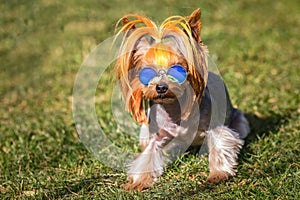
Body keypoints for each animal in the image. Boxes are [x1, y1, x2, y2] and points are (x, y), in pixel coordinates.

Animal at [113, 8, 250, 191]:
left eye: (177, 70)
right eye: (147, 72)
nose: (161, 87)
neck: (173, 107)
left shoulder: (215, 128)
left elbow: (219, 148)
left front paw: (217, 175)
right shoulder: (157, 135)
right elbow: (148, 155)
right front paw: (138, 182)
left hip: (241, 121)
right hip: (144, 131)